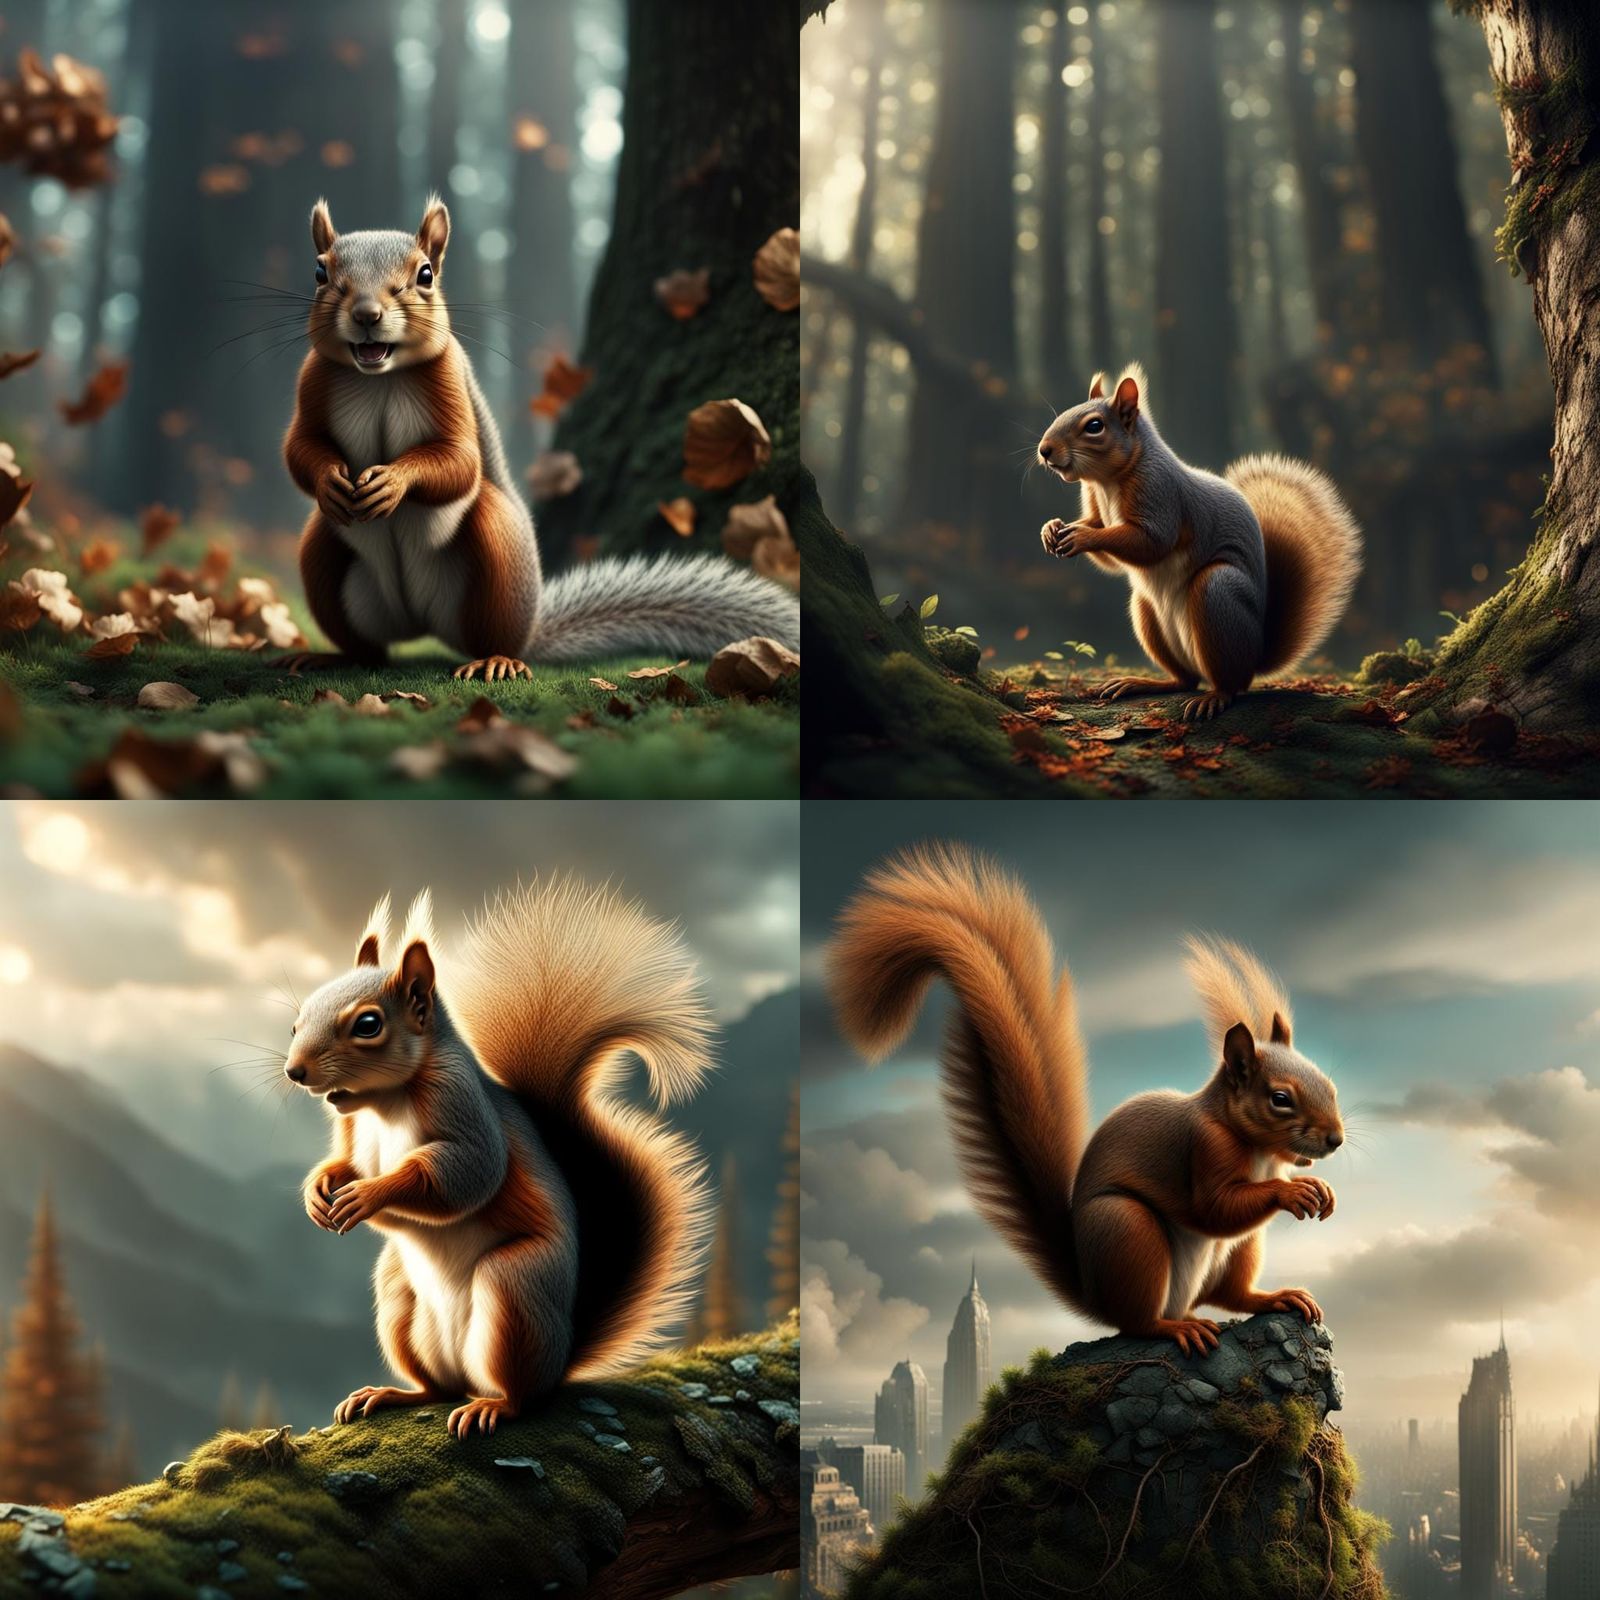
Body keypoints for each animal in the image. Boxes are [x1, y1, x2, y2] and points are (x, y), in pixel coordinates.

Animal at [284, 196, 800, 681]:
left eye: (425, 274)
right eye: (319, 271)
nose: (367, 314)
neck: (379, 377)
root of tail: (424, 626)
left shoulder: (450, 382)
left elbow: (459, 461)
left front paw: (393, 482)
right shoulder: (311, 380)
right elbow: (299, 448)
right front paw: (330, 480)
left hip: (499, 555)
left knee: (495, 630)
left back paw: (496, 660)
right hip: (321, 553)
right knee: (368, 645)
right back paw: (336, 657)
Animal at [284, 880, 713, 1437]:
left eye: (369, 1024)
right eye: (296, 1023)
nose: (295, 1071)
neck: (383, 1103)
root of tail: (563, 1356)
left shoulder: (460, 1103)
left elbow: (466, 1173)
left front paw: (369, 1194)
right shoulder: (353, 1130)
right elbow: (347, 1163)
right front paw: (319, 1189)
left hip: (516, 1288)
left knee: (523, 1393)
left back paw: (493, 1407)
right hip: (399, 1294)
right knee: (436, 1388)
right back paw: (389, 1394)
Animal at [827, 843, 1344, 1356]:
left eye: (1331, 1084)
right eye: (1280, 1098)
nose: (1336, 1139)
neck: (1255, 1145)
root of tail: (1092, 1291)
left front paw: (1318, 1184)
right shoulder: (1203, 1146)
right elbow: (1213, 1207)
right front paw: (1292, 1190)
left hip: (1239, 1250)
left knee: (1229, 1292)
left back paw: (1273, 1297)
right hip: (1128, 1231)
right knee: (1136, 1319)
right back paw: (1173, 1328)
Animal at [1035, 363, 1362, 721]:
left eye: (1094, 426)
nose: (1044, 450)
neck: (1107, 481)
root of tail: (1257, 653)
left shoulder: (1160, 492)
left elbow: (1151, 542)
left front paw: (1083, 536)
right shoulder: (1095, 502)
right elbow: (1103, 546)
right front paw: (1051, 529)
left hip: (1217, 594)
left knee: (1231, 683)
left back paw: (1213, 697)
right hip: (1146, 612)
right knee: (1185, 680)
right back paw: (1142, 683)